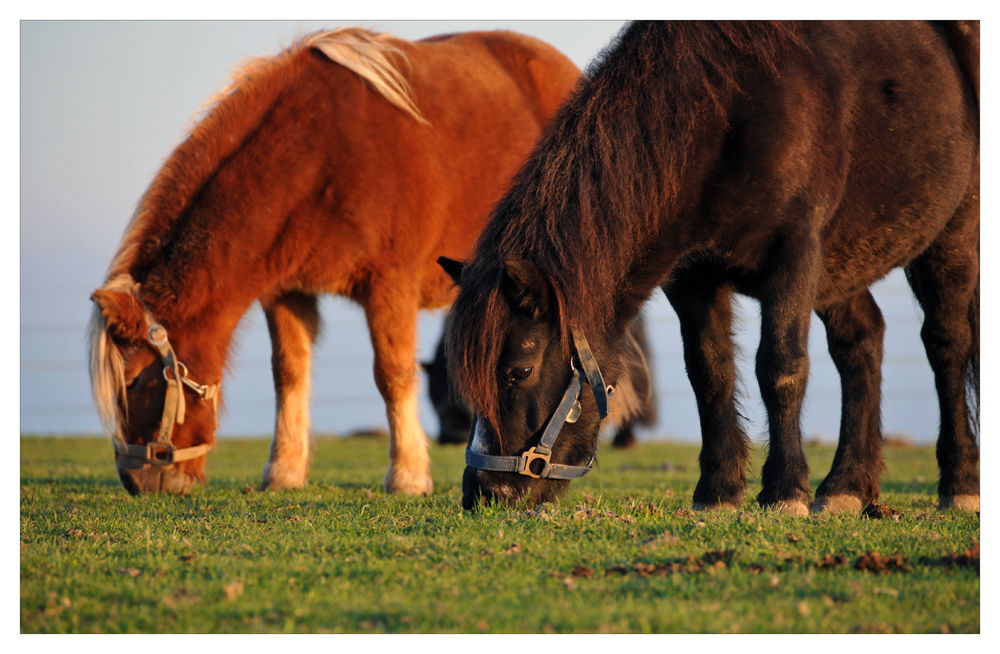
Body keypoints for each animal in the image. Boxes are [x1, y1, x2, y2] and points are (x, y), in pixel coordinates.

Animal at [92, 26, 584, 498]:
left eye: (133, 382)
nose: (135, 480)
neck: (317, 156)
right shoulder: (287, 291)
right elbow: (289, 373)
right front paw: (284, 471)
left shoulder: (389, 283)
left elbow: (392, 374)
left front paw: (408, 475)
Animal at [444, 21, 976, 516]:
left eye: (519, 371)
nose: (484, 492)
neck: (726, 112)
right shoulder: (692, 278)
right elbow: (710, 373)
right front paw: (719, 491)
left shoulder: (794, 255)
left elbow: (781, 367)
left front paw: (785, 491)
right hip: (841, 267)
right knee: (862, 343)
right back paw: (847, 485)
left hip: (951, 236)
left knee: (946, 345)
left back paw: (959, 483)